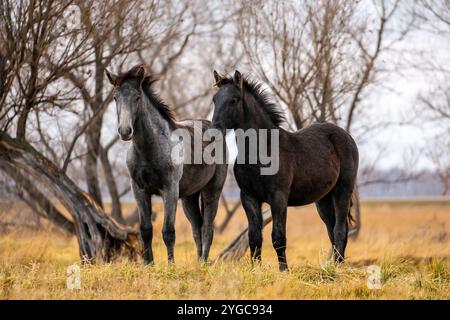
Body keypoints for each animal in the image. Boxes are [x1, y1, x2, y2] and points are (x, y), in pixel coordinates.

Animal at [104, 64, 225, 262]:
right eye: (115, 97)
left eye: (137, 97)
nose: (125, 131)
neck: (150, 149)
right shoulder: (139, 191)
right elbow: (145, 230)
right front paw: (148, 264)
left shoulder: (170, 190)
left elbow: (168, 232)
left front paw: (171, 265)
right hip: (189, 197)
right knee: (197, 228)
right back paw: (198, 263)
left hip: (212, 190)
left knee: (207, 227)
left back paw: (204, 263)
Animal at [211, 70, 358, 270]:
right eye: (214, 99)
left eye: (234, 100)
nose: (213, 131)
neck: (261, 150)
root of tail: (346, 136)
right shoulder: (249, 198)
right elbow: (254, 237)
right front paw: (256, 269)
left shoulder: (278, 198)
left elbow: (278, 237)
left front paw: (283, 270)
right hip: (323, 200)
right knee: (332, 230)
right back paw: (333, 266)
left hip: (342, 191)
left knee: (341, 229)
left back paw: (338, 267)